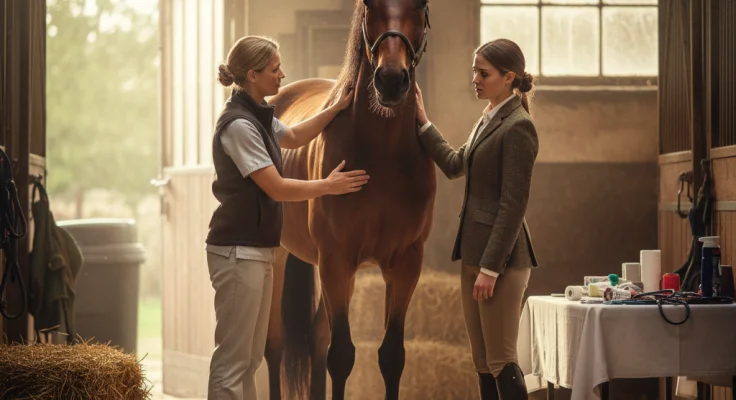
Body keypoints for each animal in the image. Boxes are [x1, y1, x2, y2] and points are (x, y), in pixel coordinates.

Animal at [264, 1, 435, 399]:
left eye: (421, 6)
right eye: (370, 6)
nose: (391, 80)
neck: (384, 155)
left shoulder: (405, 263)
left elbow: (391, 355)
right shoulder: (336, 258)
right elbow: (341, 355)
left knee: (314, 338)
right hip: (280, 257)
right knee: (276, 344)